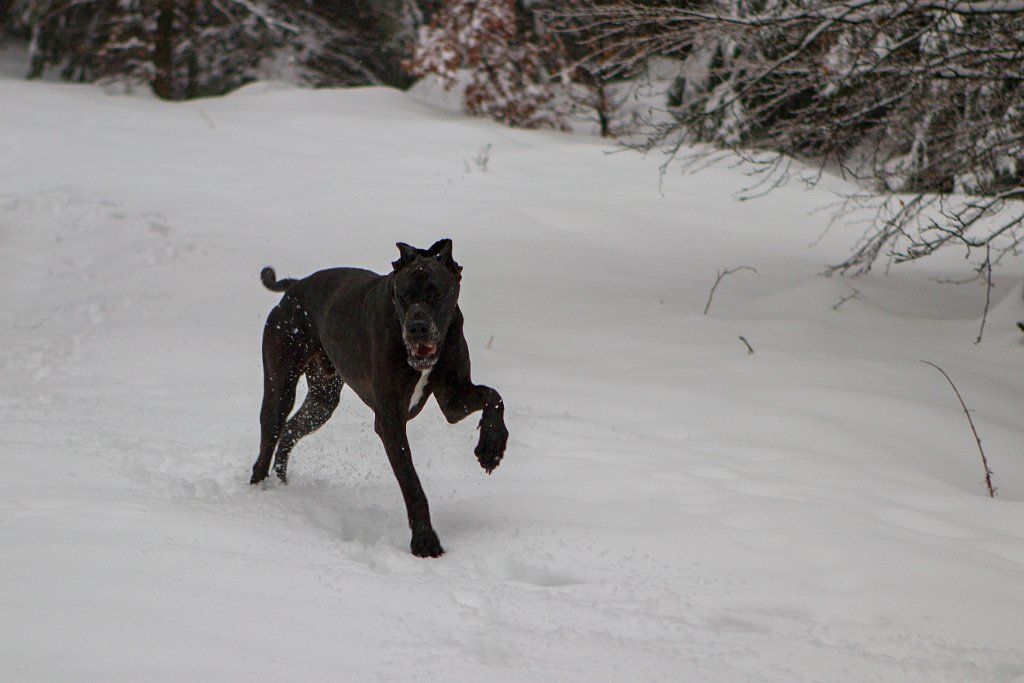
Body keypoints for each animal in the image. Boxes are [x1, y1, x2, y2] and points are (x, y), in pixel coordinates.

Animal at [251, 237, 507, 557]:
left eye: (437, 295)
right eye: (403, 296)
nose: (417, 328)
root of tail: (295, 287)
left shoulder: (454, 398)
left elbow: (493, 396)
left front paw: (491, 448)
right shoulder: (390, 420)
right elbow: (412, 483)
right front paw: (425, 541)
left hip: (322, 401)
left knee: (290, 431)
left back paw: (283, 484)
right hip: (281, 385)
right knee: (269, 436)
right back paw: (259, 495)